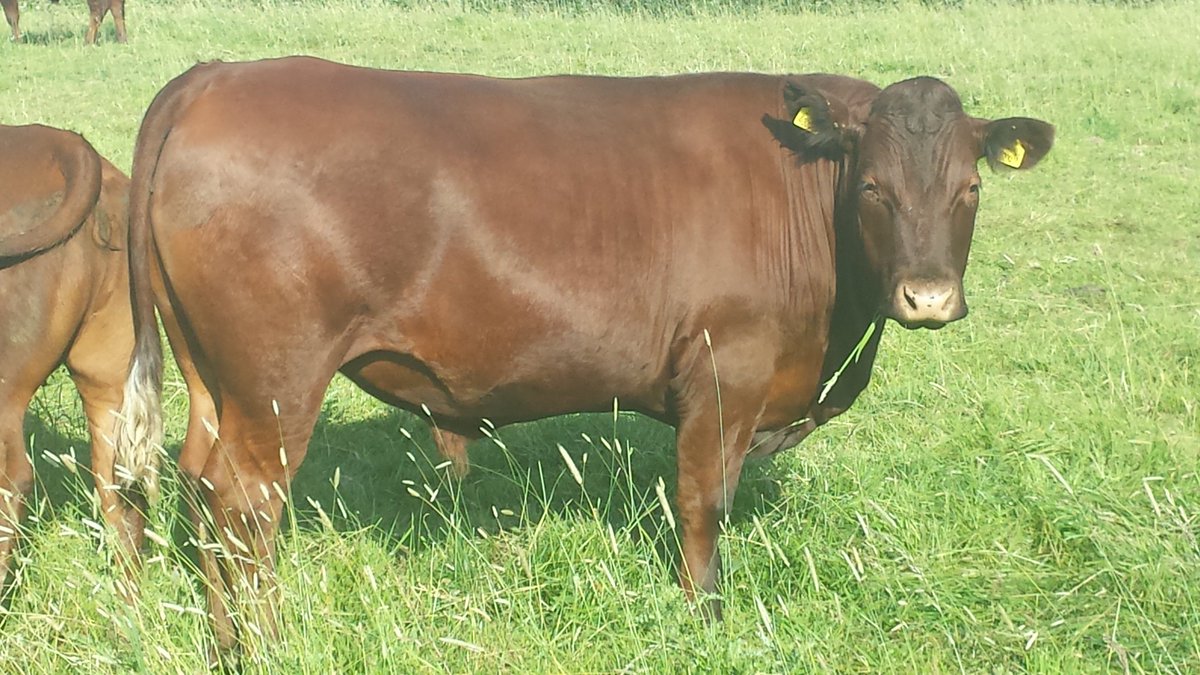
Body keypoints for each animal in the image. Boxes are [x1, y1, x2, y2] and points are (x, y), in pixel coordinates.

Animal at [113, 56, 1053, 656]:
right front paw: (706, 620)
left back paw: (224, 641)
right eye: (873, 188)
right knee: (248, 509)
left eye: (970, 188)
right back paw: (266, 644)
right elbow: (703, 502)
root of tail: (217, 75)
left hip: (216, 380)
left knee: (203, 491)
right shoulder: (725, 374)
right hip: (277, 381)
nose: (927, 297)